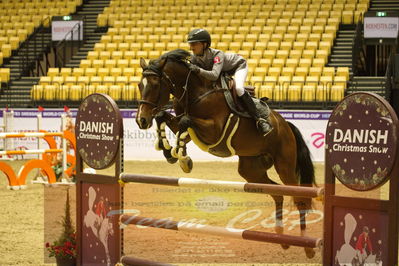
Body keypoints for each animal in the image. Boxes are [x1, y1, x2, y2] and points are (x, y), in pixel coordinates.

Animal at [136, 48, 318, 258]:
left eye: (156, 85)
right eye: (140, 85)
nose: (141, 120)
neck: (194, 91)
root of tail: (285, 124)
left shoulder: (213, 130)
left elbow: (184, 122)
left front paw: (183, 159)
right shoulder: (190, 128)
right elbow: (165, 118)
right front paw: (169, 152)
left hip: (285, 165)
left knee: (299, 198)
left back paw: (307, 246)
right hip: (251, 170)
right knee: (277, 193)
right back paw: (281, 238)